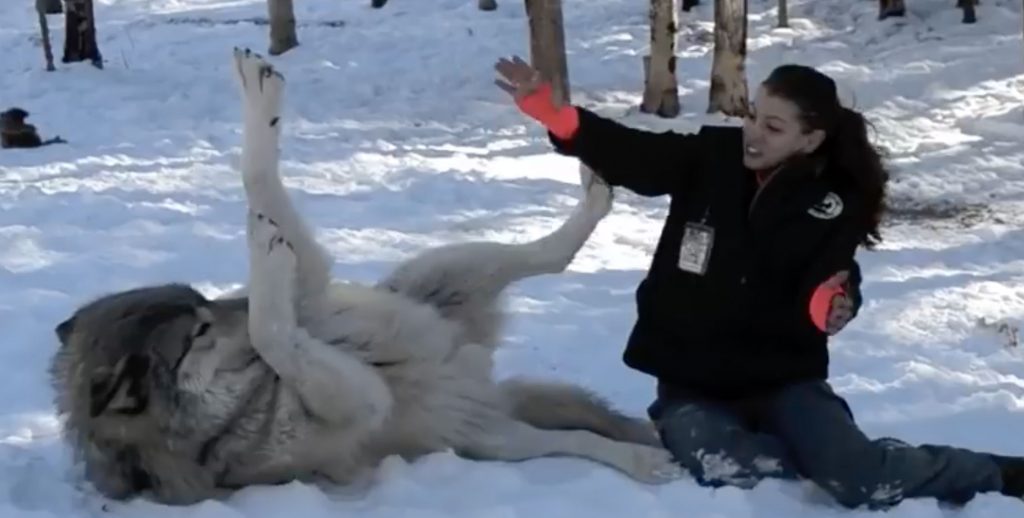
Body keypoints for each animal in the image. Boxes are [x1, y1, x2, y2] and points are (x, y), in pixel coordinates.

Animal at [49, 49, 688, 505]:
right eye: (197, 332)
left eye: (204, 303)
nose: (238, 297)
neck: (249, 397)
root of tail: (478, 381)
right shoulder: (361, 394)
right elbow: (271, 328)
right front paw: (263, 256)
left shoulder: (310, 282)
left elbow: (258, 180)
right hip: (491, 439)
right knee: (578, 438)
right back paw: (644, 461)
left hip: (442, 273)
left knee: (551, 255)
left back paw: (594, 186)